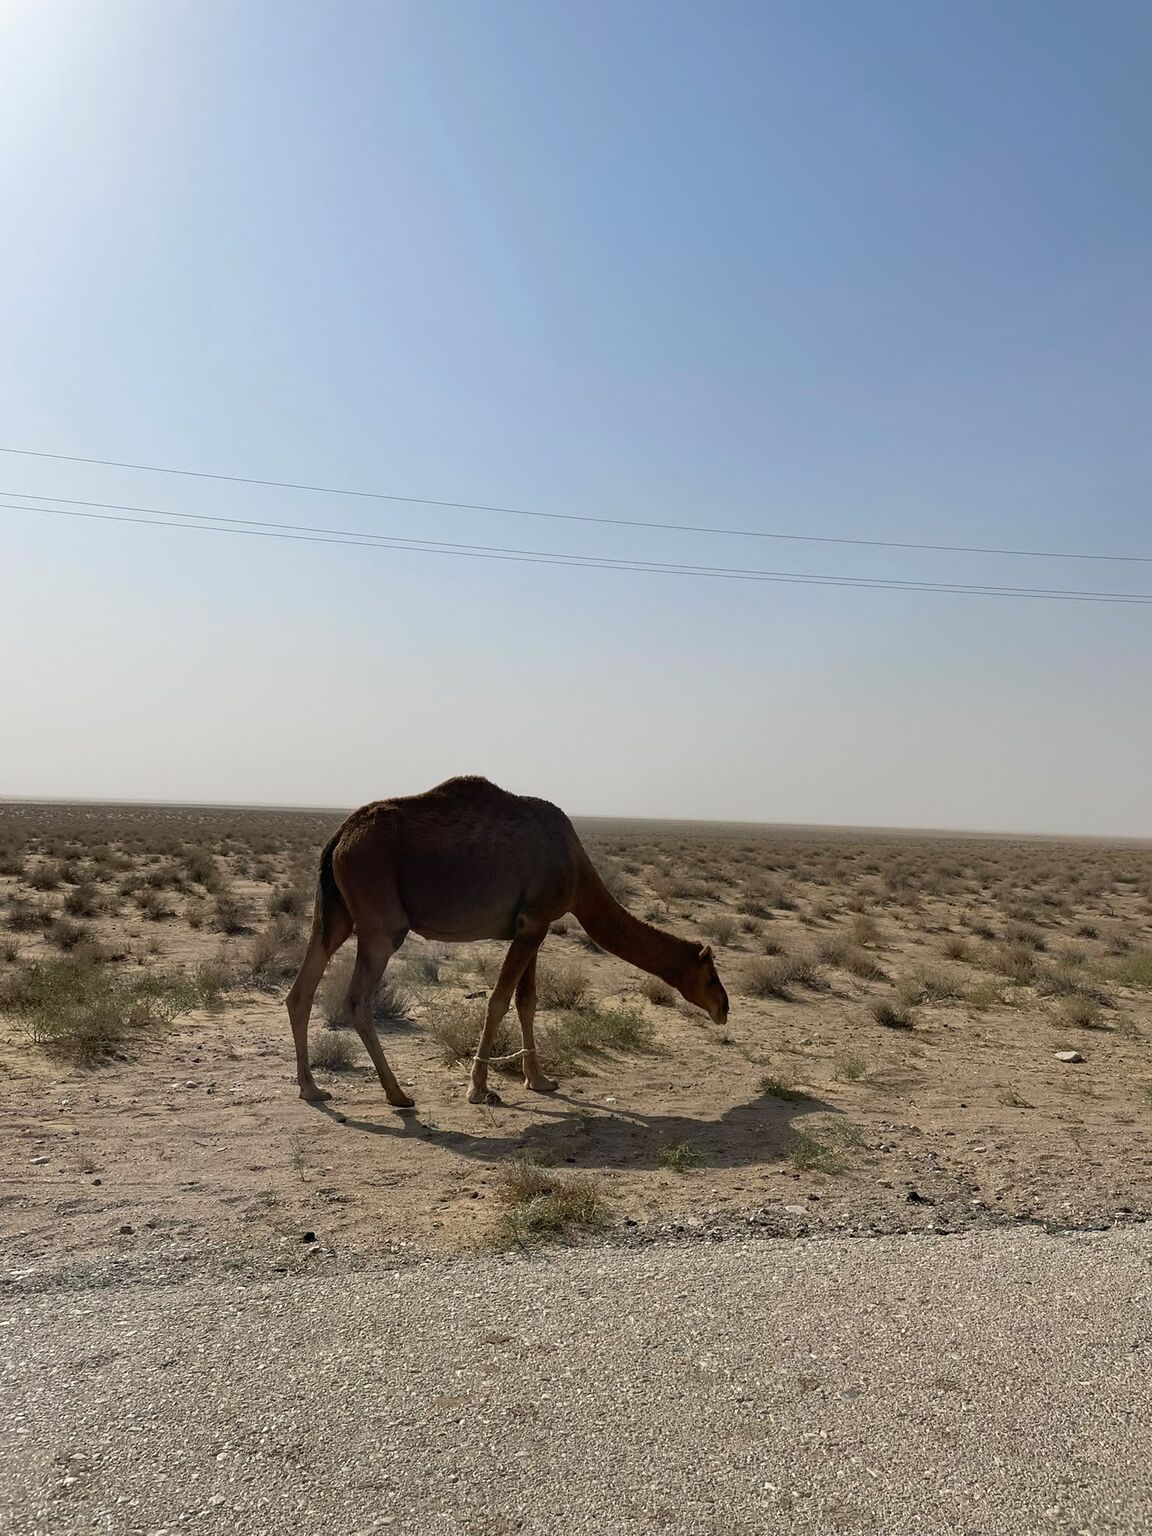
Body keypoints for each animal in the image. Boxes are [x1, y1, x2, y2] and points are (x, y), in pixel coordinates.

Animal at [286, 776, 730, 1107]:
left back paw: (311, 1088)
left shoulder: (532, 924)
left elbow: (526, 1002)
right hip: (381, 919)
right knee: (357, 1000)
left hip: (336, 913)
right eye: (710, 975)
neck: (577, 872)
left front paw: (539, 1080)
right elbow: (499, 1001)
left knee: (301, 989)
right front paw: (479, 1088)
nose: (724, 1008)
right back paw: (397, 1094)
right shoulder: (535, 921)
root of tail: (340, 834)